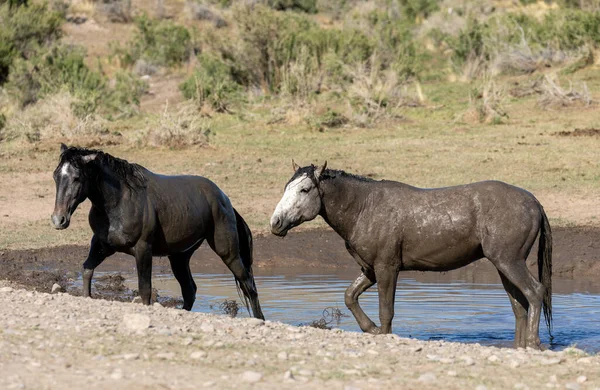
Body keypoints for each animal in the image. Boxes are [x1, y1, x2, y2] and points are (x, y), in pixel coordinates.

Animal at [52, 145, 264, 318]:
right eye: (56, 176)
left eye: (77, 178)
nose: (58, 219)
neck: (119, 201)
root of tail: (224, 198)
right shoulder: (102, 245)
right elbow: (87, 270)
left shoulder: (143, 250)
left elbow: (145, 290)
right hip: (179, 257)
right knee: (190, 290)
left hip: (228, 252)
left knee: (249, 286)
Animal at [272, 160, 552, 348]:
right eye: (286, 187)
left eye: (304, 190)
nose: (276, 222)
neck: (364, 207)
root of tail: (533, 202)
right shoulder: (370, 269)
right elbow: (349, 296)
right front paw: (371, 329)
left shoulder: (387, 268)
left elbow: (386, 310)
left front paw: (382, 332)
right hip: (503, 264)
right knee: (519, 305)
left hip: (509, 261)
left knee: (535, 293)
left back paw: (533, 342)